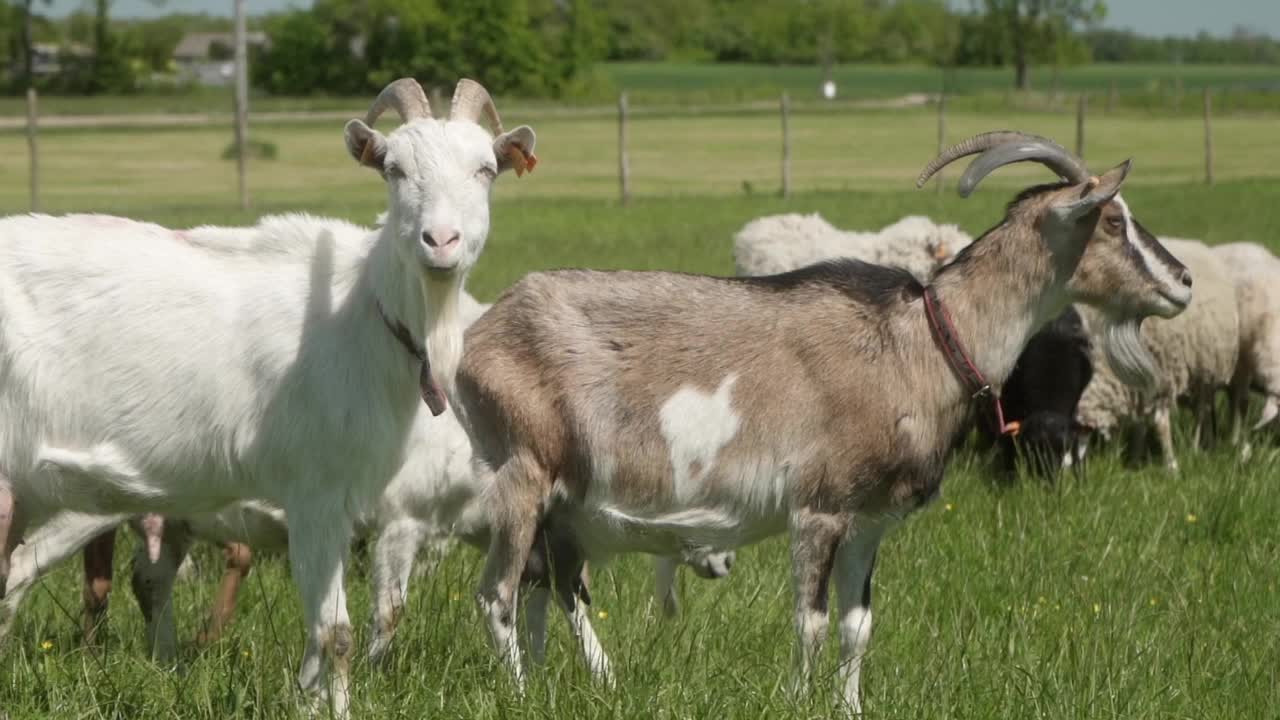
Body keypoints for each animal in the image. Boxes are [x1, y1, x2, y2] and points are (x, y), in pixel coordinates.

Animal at [0, 77, 535, 712]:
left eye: (485, 169)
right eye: (394, 168)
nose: (441, 240)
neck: (364, 311)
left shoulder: (343, 504)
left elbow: (326, 628)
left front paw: (308, 702)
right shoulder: (316, 491)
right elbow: (337, 632)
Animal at [1070, 238, 1239, 468]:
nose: (1072, 470)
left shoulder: (1163, 374)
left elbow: (1160, 423)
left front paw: (1171, 464)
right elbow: (1139, 422)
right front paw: (1131, 458)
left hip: (1205, 370)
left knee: (1201, 411)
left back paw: (1198, 446)